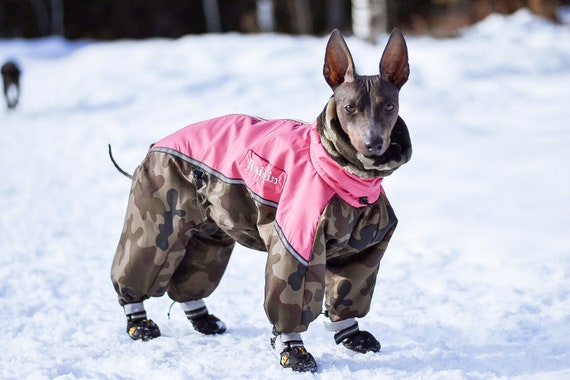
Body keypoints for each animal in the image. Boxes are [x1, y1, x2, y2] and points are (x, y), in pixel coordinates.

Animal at [110, 28, 408, 372]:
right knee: (139, 266)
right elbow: (291, 298)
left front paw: (351, 334)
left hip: (210, 232)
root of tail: (157, 143)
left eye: (389, 106)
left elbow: (350, 288)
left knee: (193, 273)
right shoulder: (296, 243)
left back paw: (202, 317)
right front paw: (294, 350)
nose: (374, 143)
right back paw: (138, 321)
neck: (342, 174)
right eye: (350, 108)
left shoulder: (367, 247)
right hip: (157, 219)